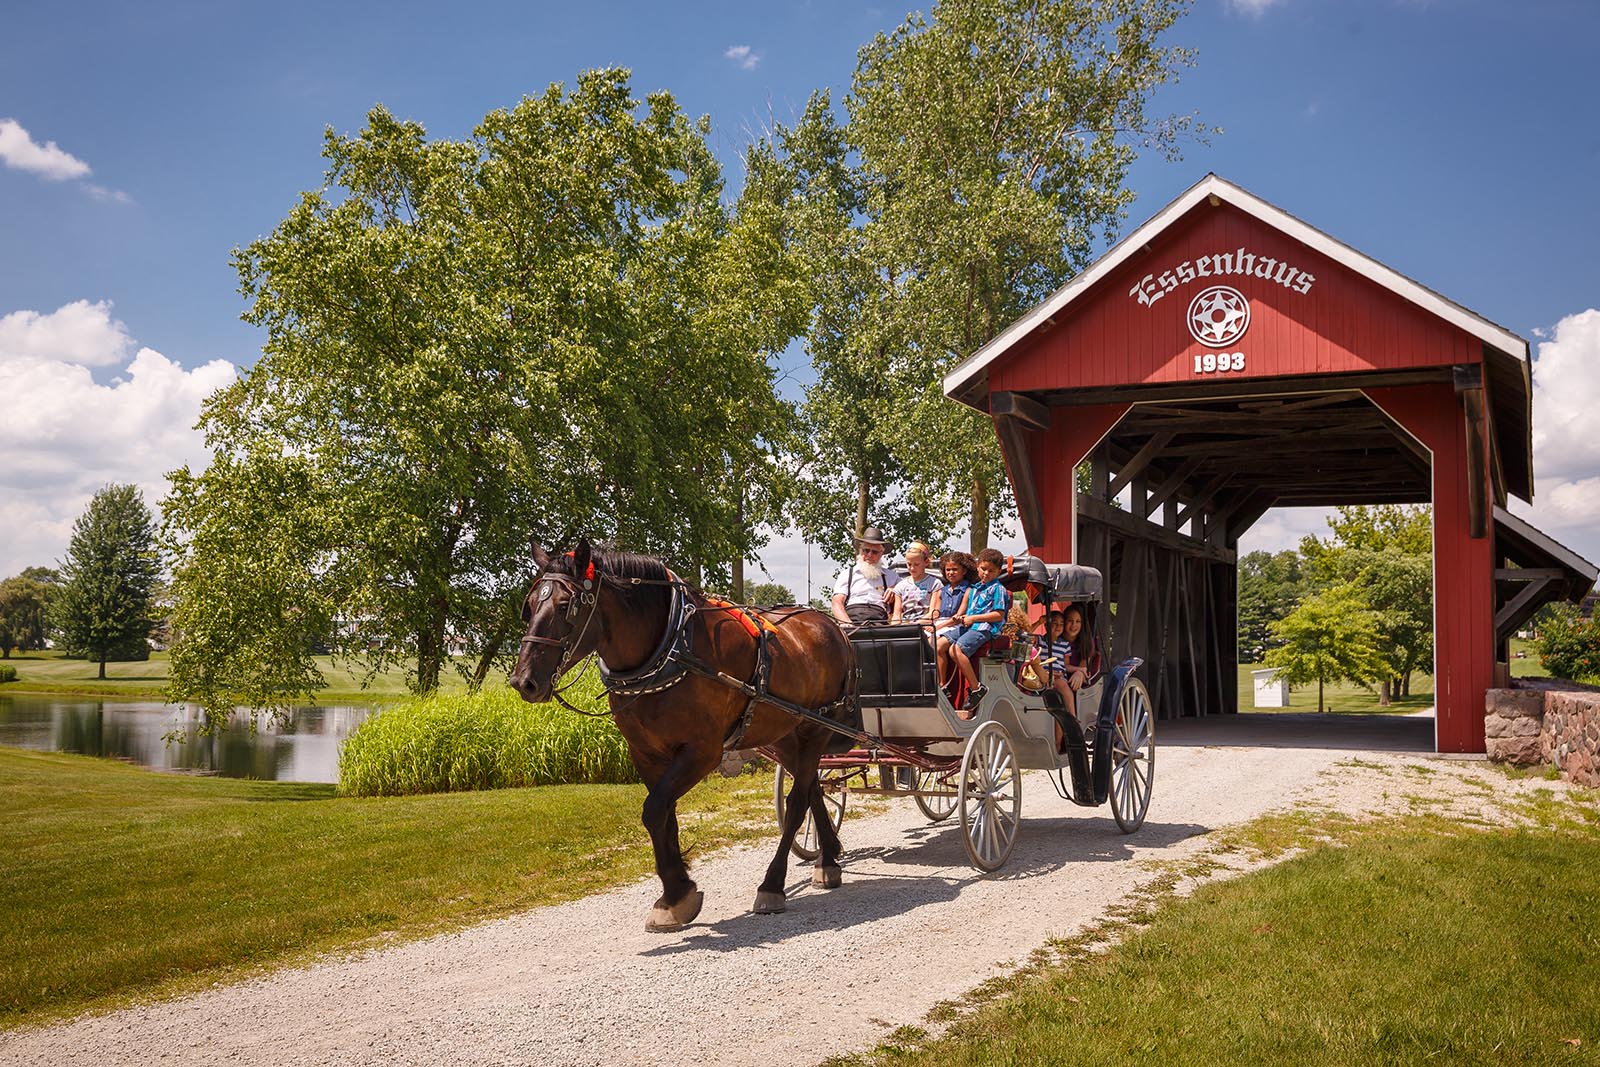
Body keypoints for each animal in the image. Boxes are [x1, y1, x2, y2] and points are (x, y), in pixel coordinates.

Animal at [512, 537, 864, 927]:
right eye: (530, 605)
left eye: (565, 606)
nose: (523, 681)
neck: (671, 648)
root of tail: (832, 627)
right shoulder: (645, 753)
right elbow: (664, 815)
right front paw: (675, 894)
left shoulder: (703, 751)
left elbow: (654, 810)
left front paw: (677, 892)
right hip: (783, 733)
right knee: (815, 787)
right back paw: (828, 858)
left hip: (815, 727)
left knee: (798, 802)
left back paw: (773, 884)